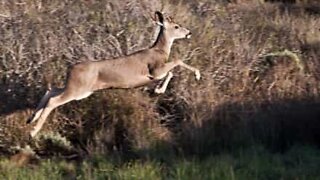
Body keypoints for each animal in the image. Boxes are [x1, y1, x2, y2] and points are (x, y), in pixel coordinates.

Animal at [28, 10, 202, 138]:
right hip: (78, 89)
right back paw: (33, 132)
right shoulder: (155, 69)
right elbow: (176, 62)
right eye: (177, 26)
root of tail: (71, 69)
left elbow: (170, 72)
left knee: (51, 90)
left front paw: (158, 89)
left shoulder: (154, 74)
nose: (189, 32)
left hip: (78, 89)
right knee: (54, 100)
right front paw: (197, 75)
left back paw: (31, 119)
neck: (159, 51)